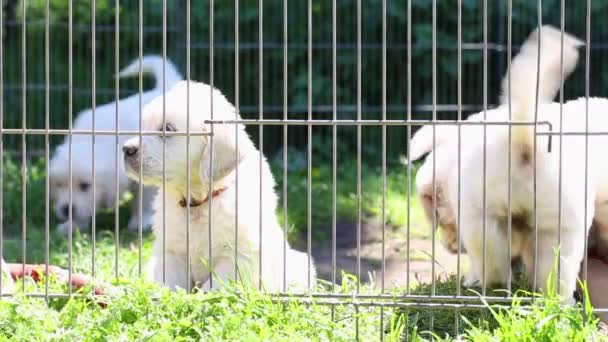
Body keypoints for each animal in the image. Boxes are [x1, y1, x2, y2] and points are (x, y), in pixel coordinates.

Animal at [48, 55, 182, 235]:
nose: (66, 210)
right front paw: (71, 226)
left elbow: (144, 199)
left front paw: (140, 222)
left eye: (85, 186)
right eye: (59, 184)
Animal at [121, 79, 316, 292]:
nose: (126, 149)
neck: (198, 201)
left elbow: (212, 288)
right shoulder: (171, 253)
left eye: (168, 128)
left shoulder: (236, 258)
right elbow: (170, 285)